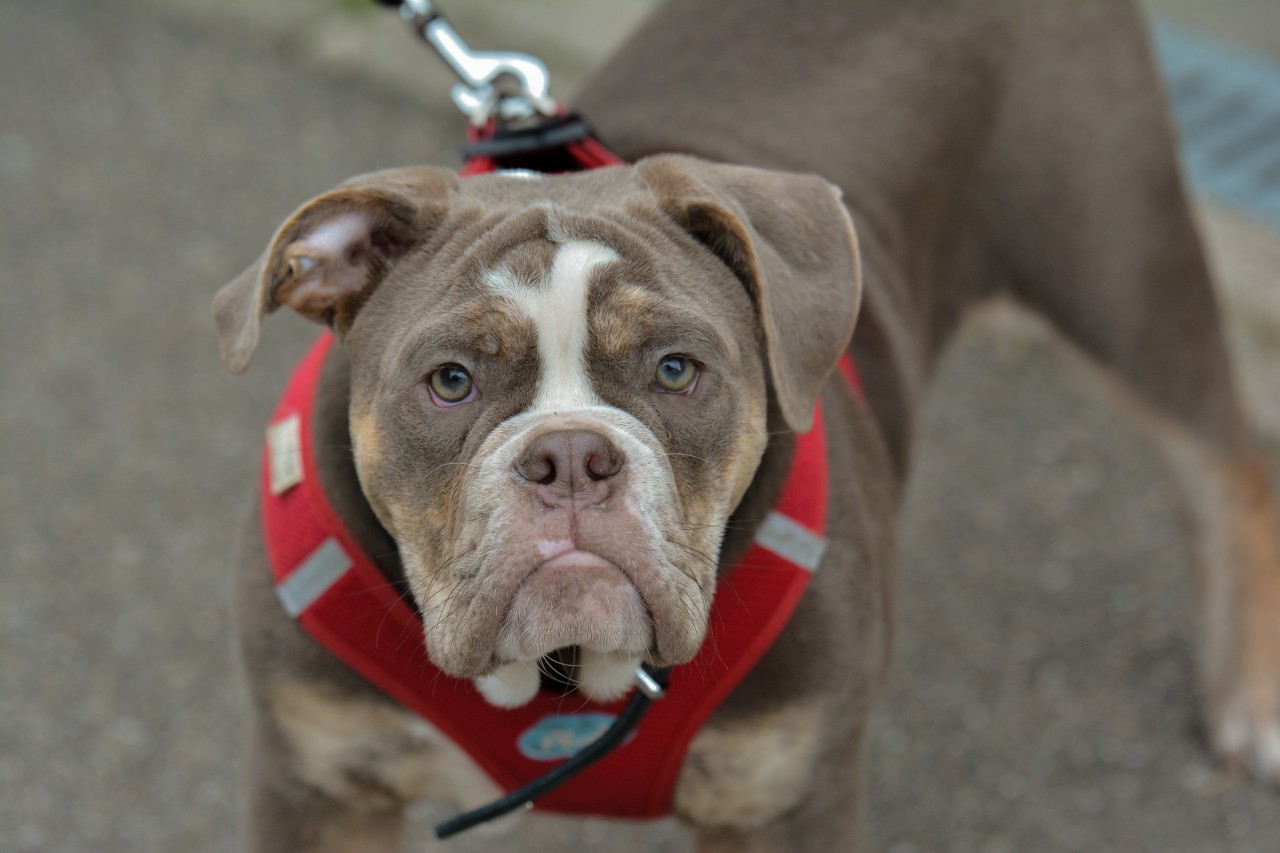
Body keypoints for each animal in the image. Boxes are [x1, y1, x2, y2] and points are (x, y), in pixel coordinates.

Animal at [212, 3, 1280, 845]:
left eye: (677, 370)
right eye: (450, 380)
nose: (570, 455)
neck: (562, 685)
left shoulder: (789, 793)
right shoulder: (317, 783)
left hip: (1118, 269)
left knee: (1226, 467)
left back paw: (1252, 704)